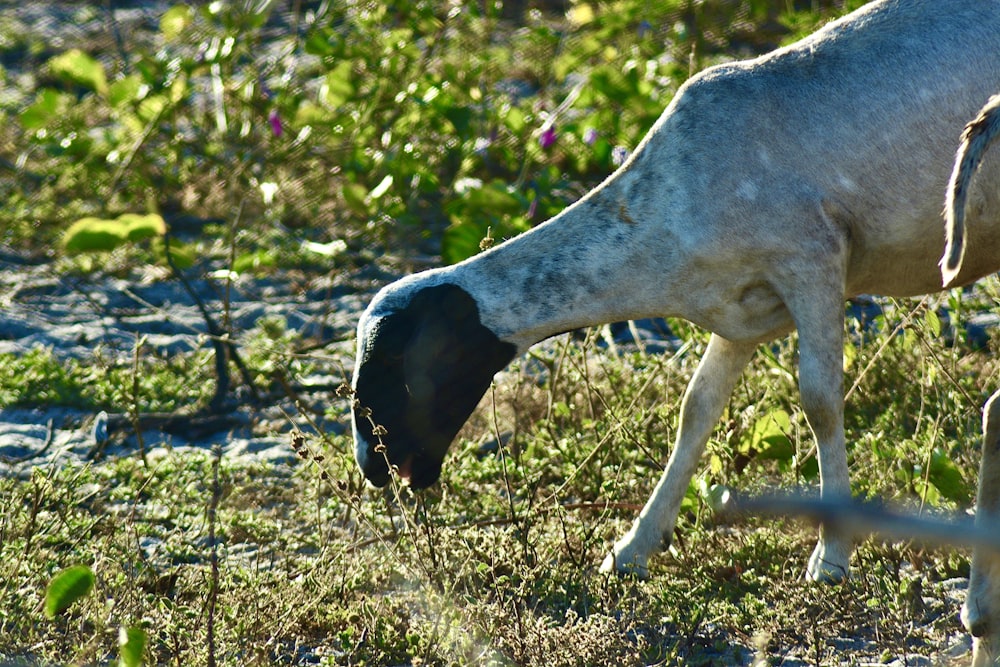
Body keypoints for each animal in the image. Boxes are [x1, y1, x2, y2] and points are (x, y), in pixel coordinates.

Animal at [354, 0, 1000, 656]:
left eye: (393, 366)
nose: (373, 468)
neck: (658, 217)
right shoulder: (740, 312)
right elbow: (697, 408)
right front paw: (634, 548)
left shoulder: (813, 262)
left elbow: (819, 402)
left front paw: (832, 556)